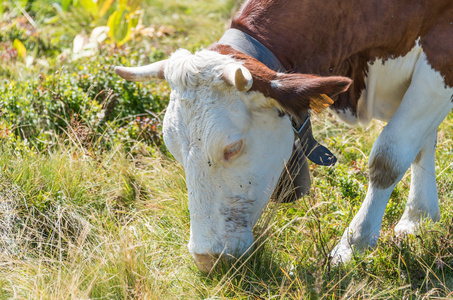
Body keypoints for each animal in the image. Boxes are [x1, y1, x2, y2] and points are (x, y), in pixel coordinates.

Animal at [115, 0, 452, 272]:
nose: (207, 258)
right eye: (172, 148)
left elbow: (389, 157)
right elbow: (422, 143)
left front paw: (353, 245)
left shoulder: (440, 56)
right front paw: (419, 218)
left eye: (232, 147)